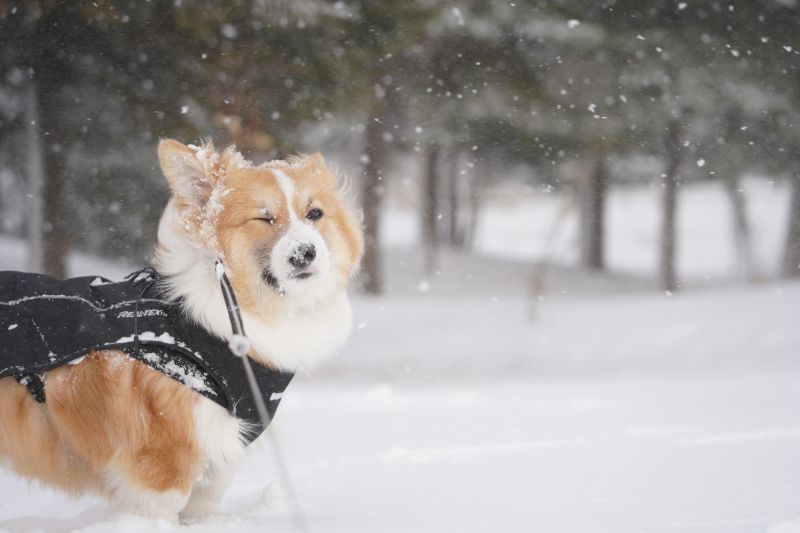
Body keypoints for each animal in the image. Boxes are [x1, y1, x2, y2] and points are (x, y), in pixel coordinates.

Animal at [0, 139, 364, 520]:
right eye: (264, 217)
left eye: (315, 214)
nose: (305, 252)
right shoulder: (161, 462)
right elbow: (163, 506)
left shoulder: (220, 451)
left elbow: (206, 501)